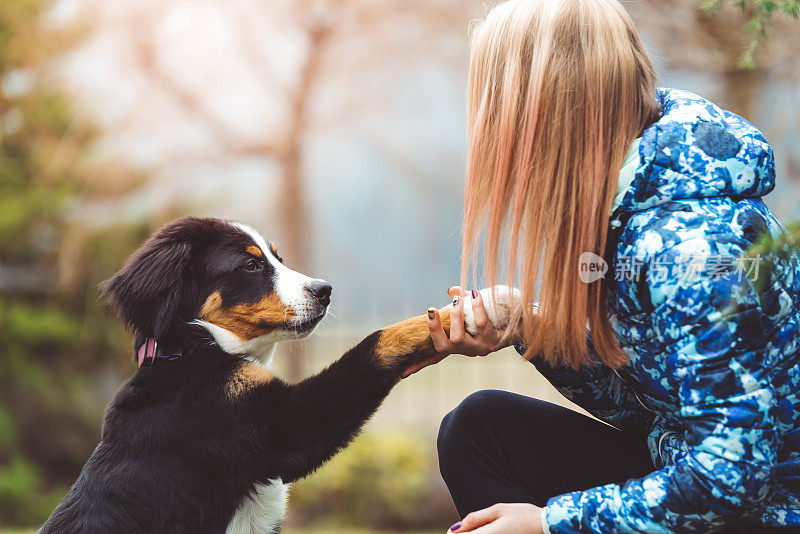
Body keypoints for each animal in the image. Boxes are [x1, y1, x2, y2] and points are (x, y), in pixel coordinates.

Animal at [40, 219, 512, 534]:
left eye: (277, 258)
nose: (325, 291)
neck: (191, 353)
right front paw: (478, 309)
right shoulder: (281, 427)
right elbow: (378, 341)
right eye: (250, 267)